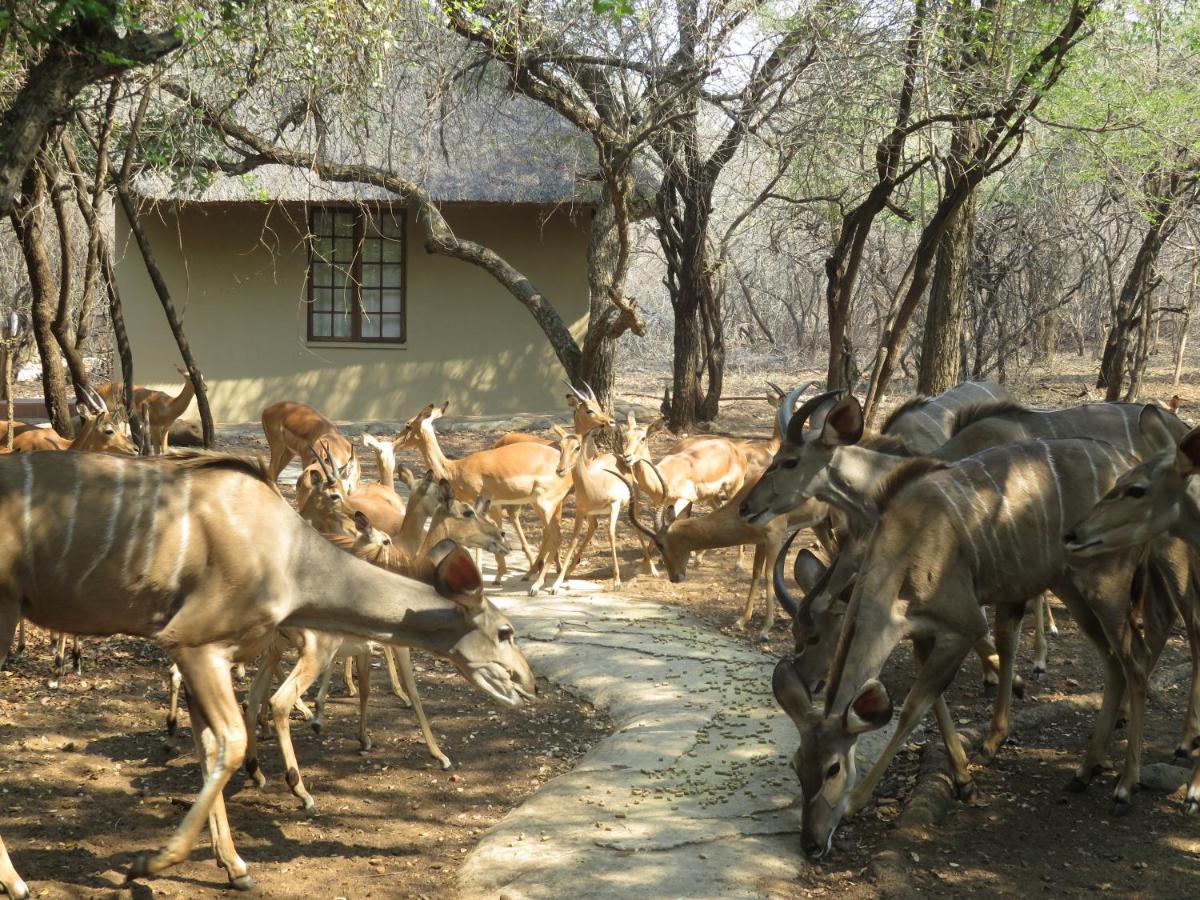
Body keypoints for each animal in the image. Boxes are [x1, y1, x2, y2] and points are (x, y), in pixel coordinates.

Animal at [0, 453, 535, 892]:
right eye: (506, 632)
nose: (527, 685)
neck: (292, 556)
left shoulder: (208, 652)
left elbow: (212, 746)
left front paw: (234, 865)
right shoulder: (196, 644)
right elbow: (235, 740)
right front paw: (150, 863)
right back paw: (18, 882)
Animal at [772, 436, 1195, 859]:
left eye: (833, 768)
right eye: (795, 764)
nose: (811, 843)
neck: (907, 543)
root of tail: (1127, 460)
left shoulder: (964, 624)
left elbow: (913, 707)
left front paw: (857, 800)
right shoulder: (923, 633)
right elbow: (934, 700)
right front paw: (964, 779)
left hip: (1107, 586)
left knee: (1136, 658)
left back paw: (1126, 786)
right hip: (1071, 587)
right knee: (1112, 661)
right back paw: (1085, 770)